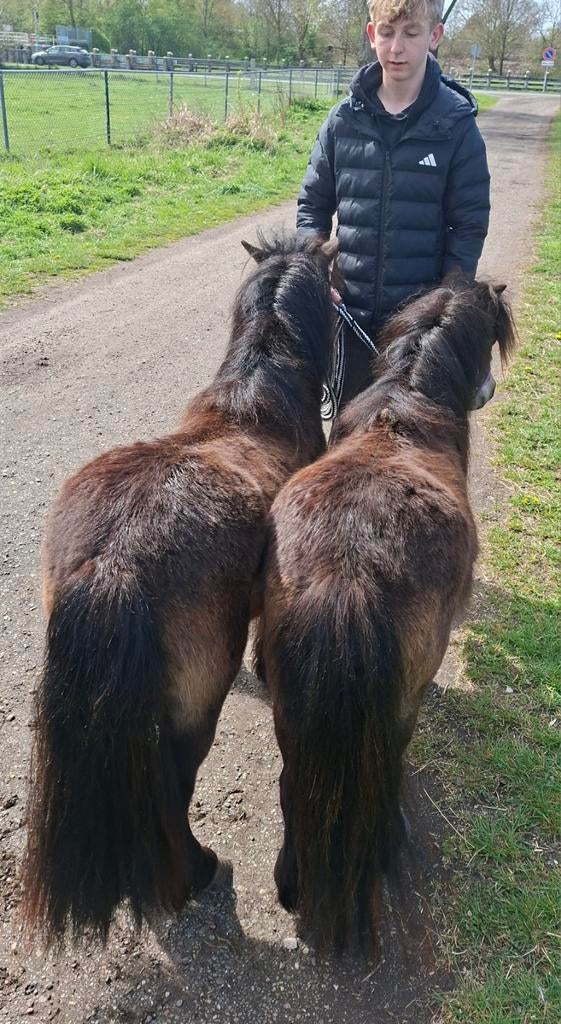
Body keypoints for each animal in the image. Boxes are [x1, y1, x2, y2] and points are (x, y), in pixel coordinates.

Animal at [255, 279, 516, 954]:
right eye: (490, 338)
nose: (487, 391)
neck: (409, 400)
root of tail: (348, 571)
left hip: (291, 706)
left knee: (295, 779)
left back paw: (292, 877)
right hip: (401, 700)